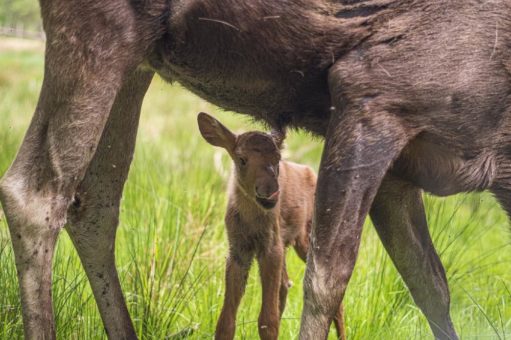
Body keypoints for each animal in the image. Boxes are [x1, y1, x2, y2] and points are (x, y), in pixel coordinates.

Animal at [198, 113, 346, 340]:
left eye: (277, 158)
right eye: (242, 159)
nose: (269, 192)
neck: (251, 221)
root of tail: (309, 171)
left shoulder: (271, 245)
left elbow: (267, 322)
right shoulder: (238, 249)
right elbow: (225, 323)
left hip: (304, 238)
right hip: (284, 244)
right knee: (285, 284)